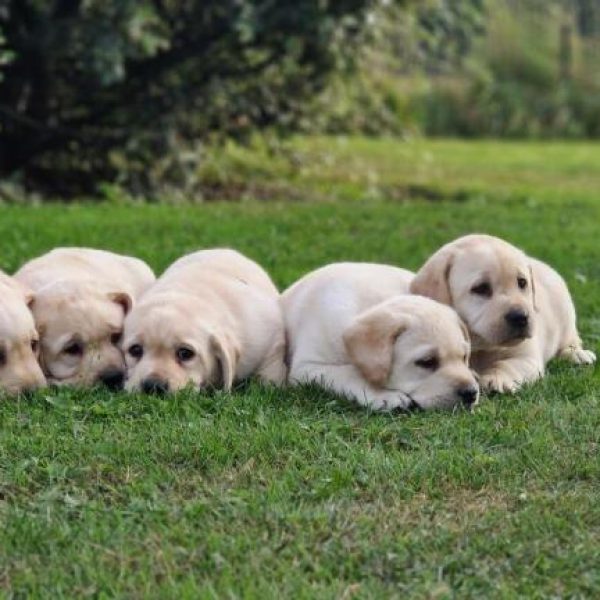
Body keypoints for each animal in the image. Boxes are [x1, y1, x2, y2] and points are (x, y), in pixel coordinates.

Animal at [282, 264, 478, 412]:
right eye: (427, 362)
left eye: (464, 357)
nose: (471, 393)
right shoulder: (307, 366)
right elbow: (348, 372)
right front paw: (383, 395)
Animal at [408, 234, 596, 394]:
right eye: (481, 288)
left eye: (522, 283)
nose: (520, 317)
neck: (481, 347)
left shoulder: (527, 357)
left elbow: (506, 364)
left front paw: (496, 379)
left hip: (566, 315)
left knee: (571, 340)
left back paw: (577, 354)